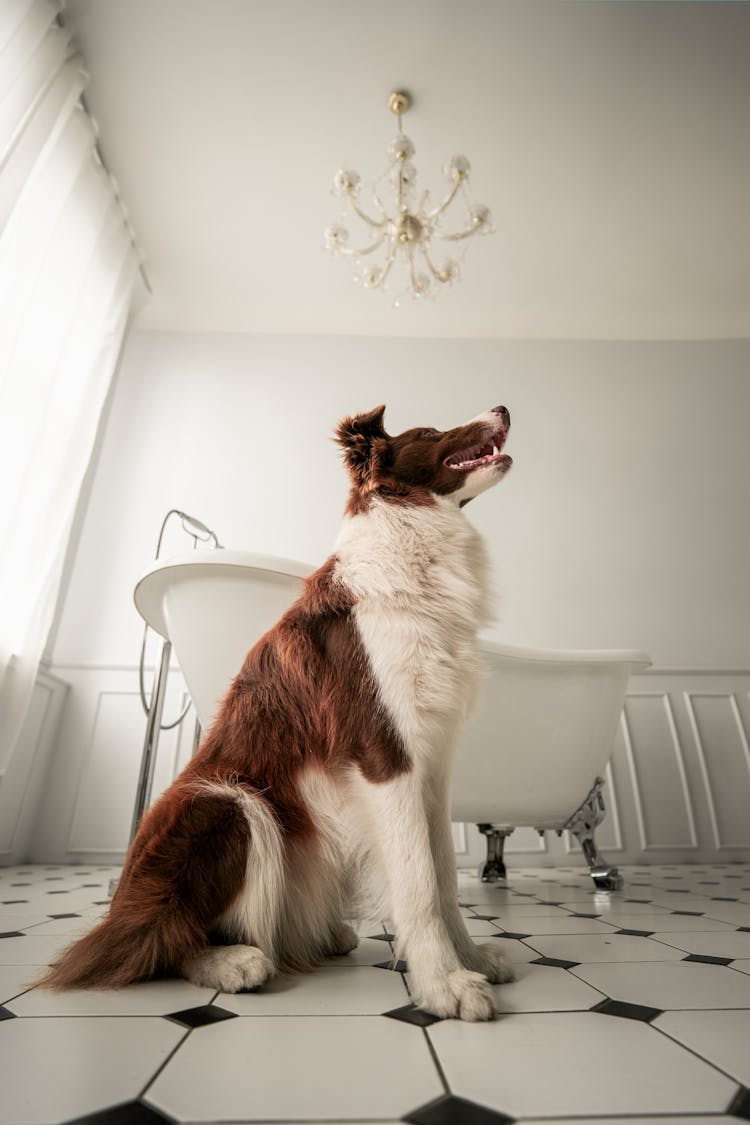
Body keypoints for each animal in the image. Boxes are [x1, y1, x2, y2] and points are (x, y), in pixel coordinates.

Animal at [41, 402, 517, 1021]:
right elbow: (417, 883)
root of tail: (117, 912)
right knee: (163, 937)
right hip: (228, 802)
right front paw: (444, 986)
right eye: (431, 433)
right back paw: (232, 962)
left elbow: (444, 879)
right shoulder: (383, 753)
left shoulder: (431, 765)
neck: (410, 545)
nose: (503, 408)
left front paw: (472, 961)